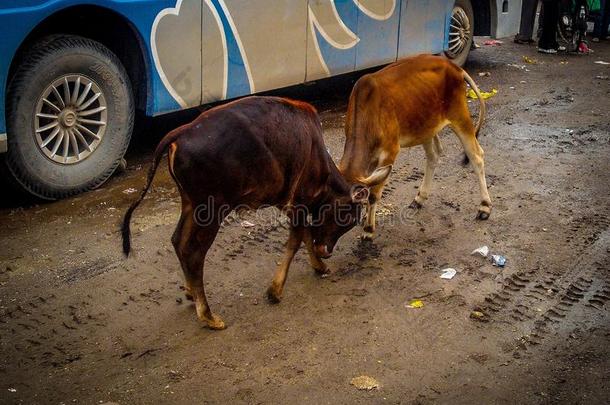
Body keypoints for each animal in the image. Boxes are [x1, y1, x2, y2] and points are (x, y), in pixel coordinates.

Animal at [122, 97, 390, 328]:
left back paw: (191, 293)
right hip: (210, 209)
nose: (327, 252)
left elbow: (305, 236)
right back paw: (208, 316)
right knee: (193, 252)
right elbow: (295, 241)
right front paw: (275, 291)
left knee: (178, 241)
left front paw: (319, 267)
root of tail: (182, 131)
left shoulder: (292, 205)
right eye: (347, 217)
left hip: (191, 204)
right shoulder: (299, 202)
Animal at [338, 53, 490, 237]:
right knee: (434, 155)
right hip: (425, 125)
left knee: (476, 156)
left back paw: (484, 206)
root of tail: (455, 67)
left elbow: (374, 194)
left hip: (460, 117)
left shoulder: (390, 152)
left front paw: (368, 230)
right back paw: (419, 198)